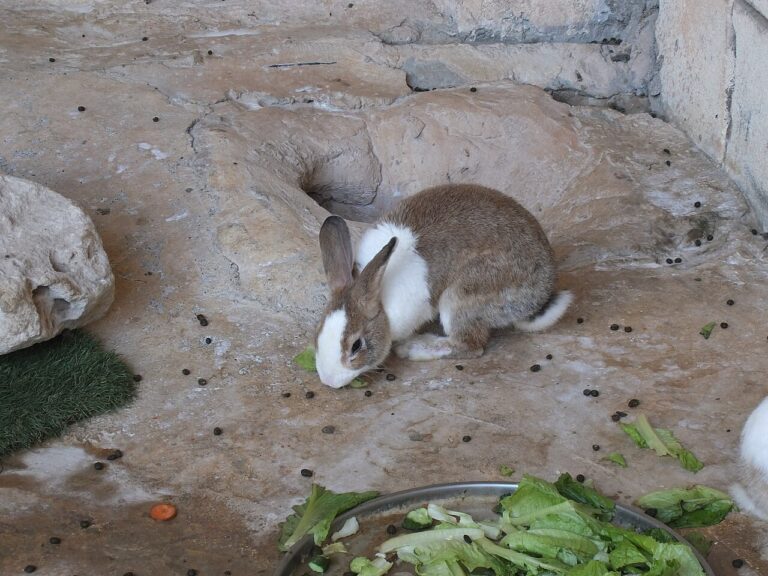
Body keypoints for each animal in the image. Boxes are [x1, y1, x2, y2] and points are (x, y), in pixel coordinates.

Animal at [314, 183, 573, 388]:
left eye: (356, 346)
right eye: (318, 332)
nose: (329, 380)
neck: (382, 301)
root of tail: (541, 294)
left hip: (461, 298)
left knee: (470, 346)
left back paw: (414, 348)